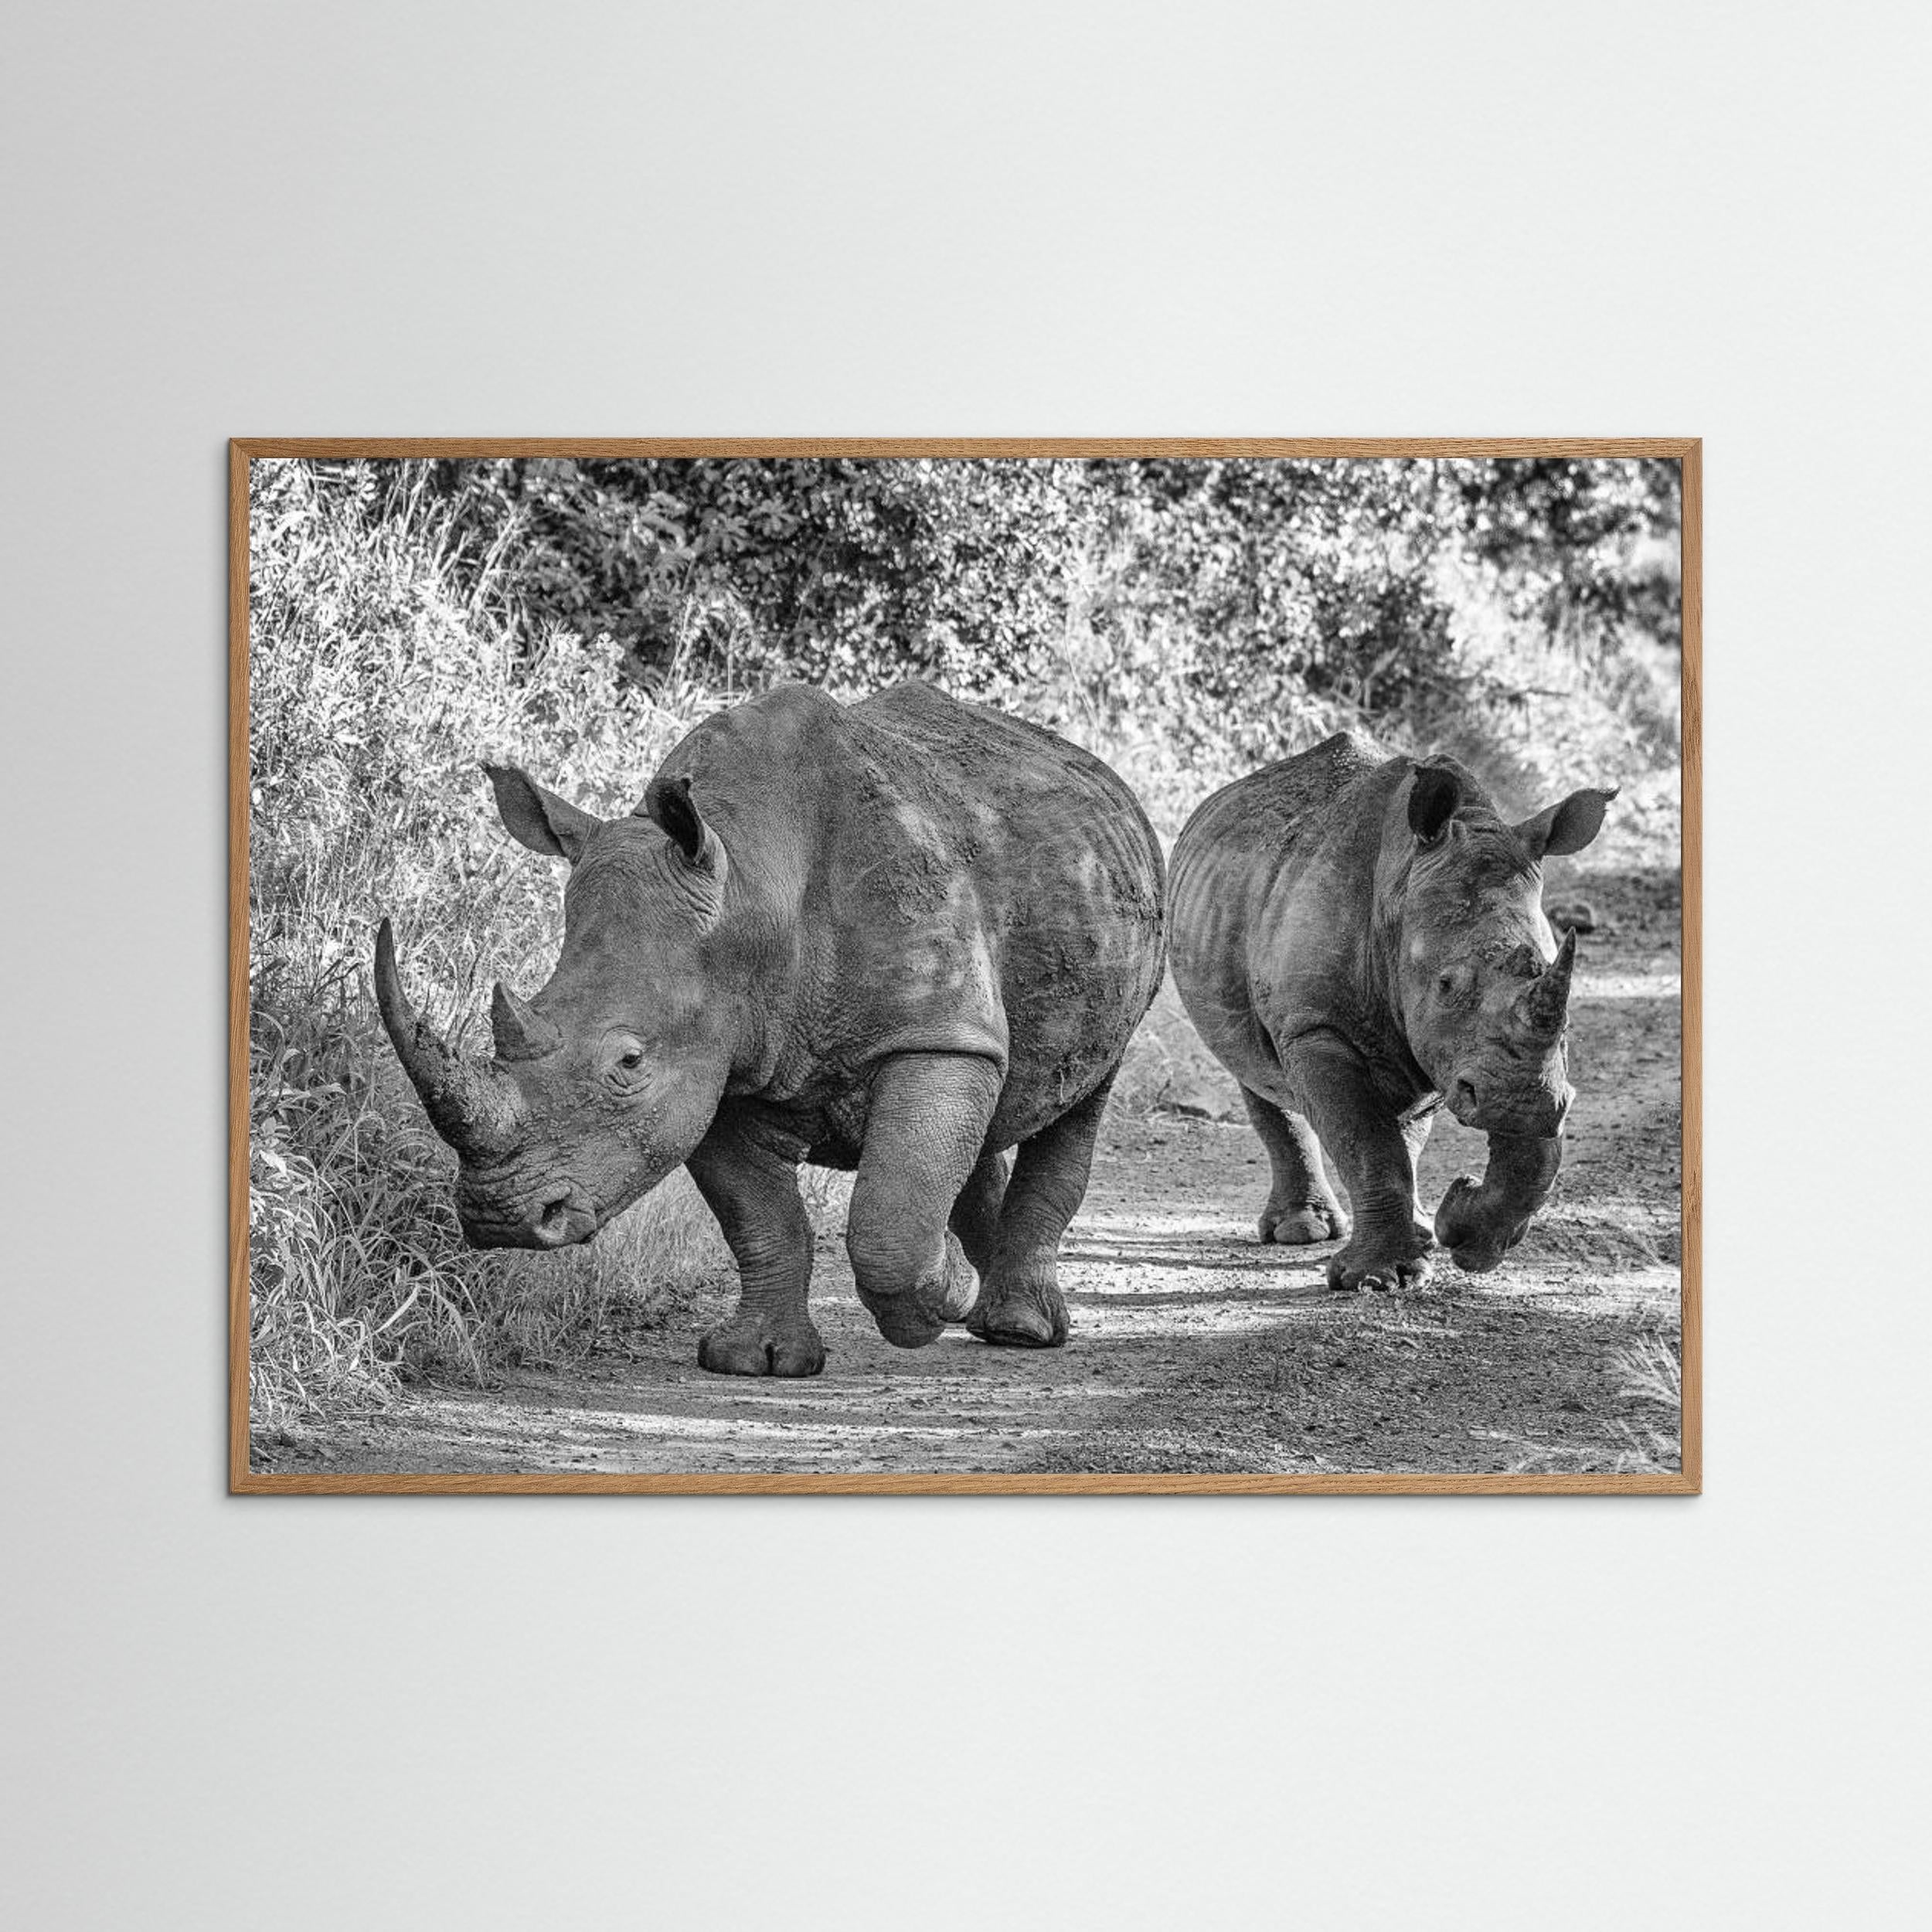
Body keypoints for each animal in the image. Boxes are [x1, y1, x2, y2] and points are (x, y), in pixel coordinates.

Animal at [374, 681, 1165, 1374]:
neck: (752, 888)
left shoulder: (930, 1030)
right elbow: (760, 1220)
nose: (499, 1216)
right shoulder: (718, 1058)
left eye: (628, 1063)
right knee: (999, 1096)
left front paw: (940, 1295)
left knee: (1080, 1095)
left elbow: (890, 1223)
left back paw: (1017, 1328)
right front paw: (758, 1361)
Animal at [1168, 732, 1614, 1291]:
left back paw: (1418, 1227)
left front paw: (1461, 1231)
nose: (1523, 1102)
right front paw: (1379, 1279)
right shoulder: (1315, 1026)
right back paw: (1302, 1232)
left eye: (1558, 991)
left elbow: (1524, 1160)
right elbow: (1365, 1142)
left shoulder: (1472, 1054)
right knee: (1254, 1070)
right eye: (1446, 985)